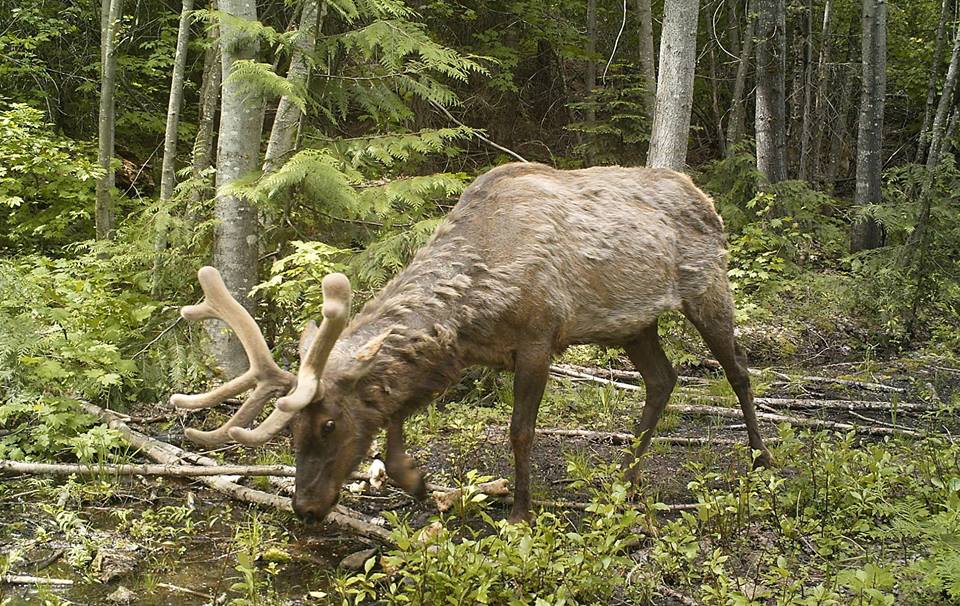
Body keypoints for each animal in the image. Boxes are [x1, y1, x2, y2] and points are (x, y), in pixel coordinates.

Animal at [171, 162, 774, 524]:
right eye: (290, 430)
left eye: (328, 425)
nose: (304, 507)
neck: (476, 301)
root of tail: (706, 196)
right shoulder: (460, 355)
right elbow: (394, 422)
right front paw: (422, 484)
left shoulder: (538, 338)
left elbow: (521, 432)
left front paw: (521, 512)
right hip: (633, 323)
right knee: (662, 378)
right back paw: (625, 476)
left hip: (708, 284)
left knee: (739, 371)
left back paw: (761, 457)